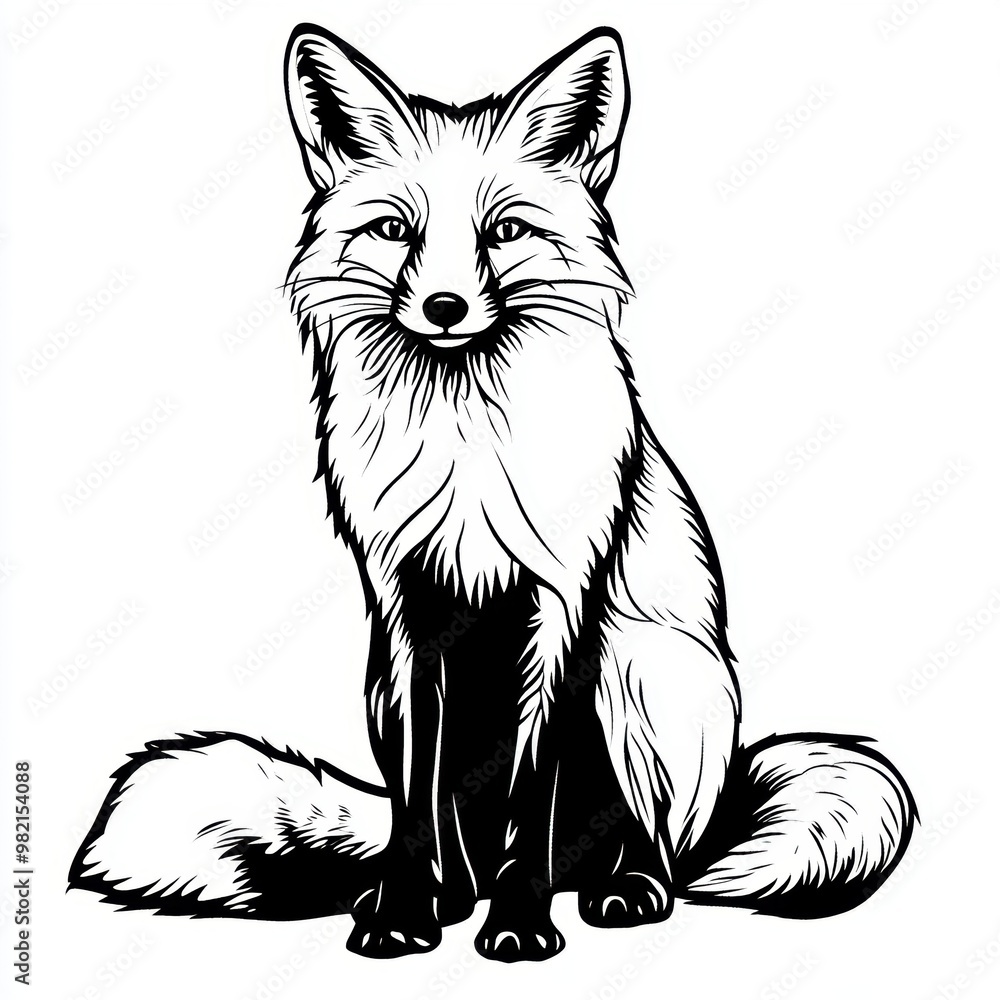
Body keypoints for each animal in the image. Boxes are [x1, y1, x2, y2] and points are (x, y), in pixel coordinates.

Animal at [69, 24, 916, 962]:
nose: (444, 307)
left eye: (506, 231)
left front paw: (517, 923)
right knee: (454, 830)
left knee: (645, 841)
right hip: (385, 686)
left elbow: (531, 796)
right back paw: (446, 896)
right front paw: (401, 911)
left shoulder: (563, 605)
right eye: (394, 230)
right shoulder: (406, 614)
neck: (466, 454)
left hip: (645, 673)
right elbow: (413, 799)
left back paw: (625, 887)